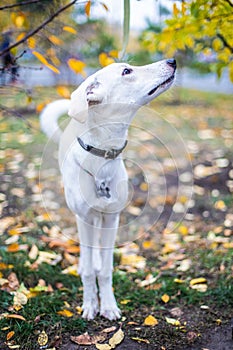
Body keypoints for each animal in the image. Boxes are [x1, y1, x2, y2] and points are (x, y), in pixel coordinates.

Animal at [40, 58, 176, 320]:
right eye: (127, 71)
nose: (172, 61)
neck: (102, 157)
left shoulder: (112, 218)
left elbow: (105, 269)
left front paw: (109, 304)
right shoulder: (85, 217)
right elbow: (89, 271)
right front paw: (90, 303)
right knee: (87, 250)